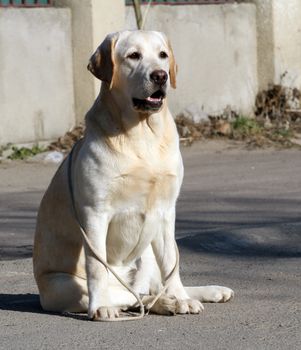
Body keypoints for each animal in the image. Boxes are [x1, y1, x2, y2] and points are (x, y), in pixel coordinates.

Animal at [33, 30, 234, 320]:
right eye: (133, 56)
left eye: (162, 55)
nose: (160, 75)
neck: (142, 135)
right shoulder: (94, 212)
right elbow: (97, 266)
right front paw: (101, 307)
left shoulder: (166, 210)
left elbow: (172, 263)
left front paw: (182, 298)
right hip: (65, 285)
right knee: (134, 297)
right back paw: (157, 303)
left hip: (147, 253)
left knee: (151, 288)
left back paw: (197, 294)